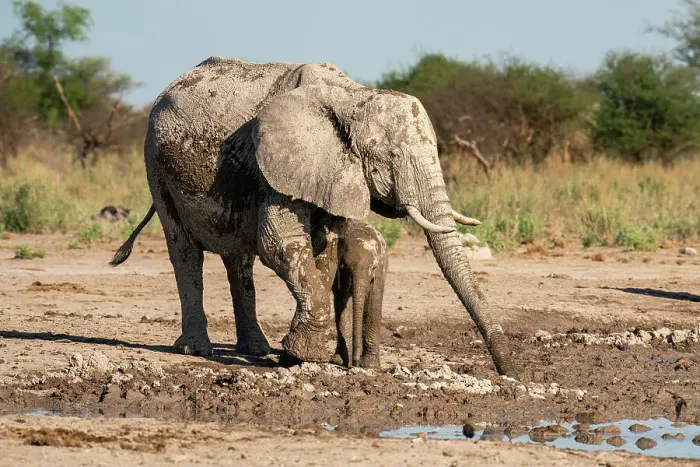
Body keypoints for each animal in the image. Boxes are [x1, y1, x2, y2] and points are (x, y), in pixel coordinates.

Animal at [110, 56, 518, 379]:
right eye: (389, 157)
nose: (511, 374)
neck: (352, 97)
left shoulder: (328, 172)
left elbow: (324, 248)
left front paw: (299, 353)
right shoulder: (276, 161)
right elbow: (280, 244)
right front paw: (306, 354)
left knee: (238, 258)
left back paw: (256, 350)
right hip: (155, 164)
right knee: (184, 250)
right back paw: (197, 349)